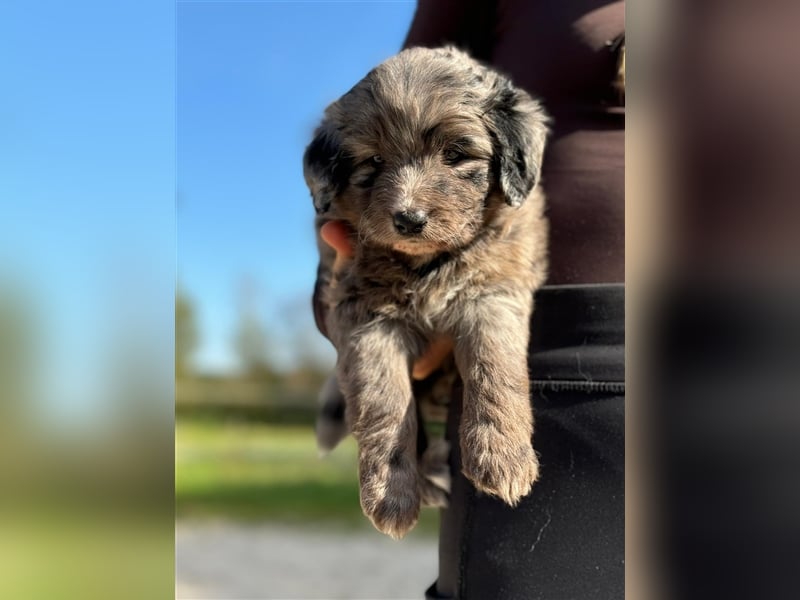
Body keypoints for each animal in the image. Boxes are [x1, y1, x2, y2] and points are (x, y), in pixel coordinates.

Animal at [304, 44, 548, 536]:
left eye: (455, 154)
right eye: (374, 162)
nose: (408, 219)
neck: (426, 263)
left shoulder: (493, 291)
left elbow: (494, 361)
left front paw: (502, 453)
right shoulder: (365, 317)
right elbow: (384, 400)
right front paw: (392, 493)